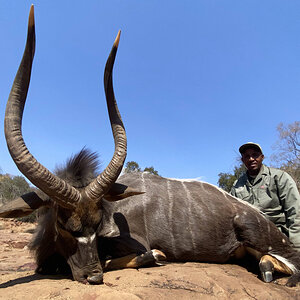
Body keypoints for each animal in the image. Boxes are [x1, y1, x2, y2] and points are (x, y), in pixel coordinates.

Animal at [1, 5, 300, 286]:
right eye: (64, 226)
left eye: (96, 226)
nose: (92, 277)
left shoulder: (135, 244)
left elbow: (145, 255)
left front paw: (154, 255)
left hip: (255, 233)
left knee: (290, 263)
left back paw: (268, 267)